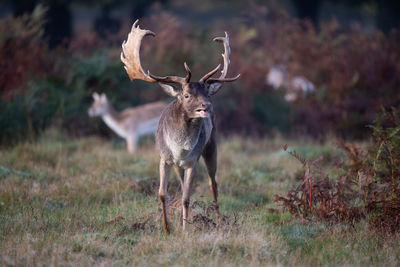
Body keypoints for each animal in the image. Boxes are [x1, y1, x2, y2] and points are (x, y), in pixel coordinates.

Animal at [120, 19, 241, 232]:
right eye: (186, 95)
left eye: (206, 93)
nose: (206, 106)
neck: (180, 148)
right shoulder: (164, 157)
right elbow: (162, 193)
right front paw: (167, 228)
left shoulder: (193, 160)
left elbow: (186, 197)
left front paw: (185, 229)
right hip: (178, 165)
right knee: (184, 183)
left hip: (211, 146)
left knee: (213, 184)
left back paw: (219, 220)